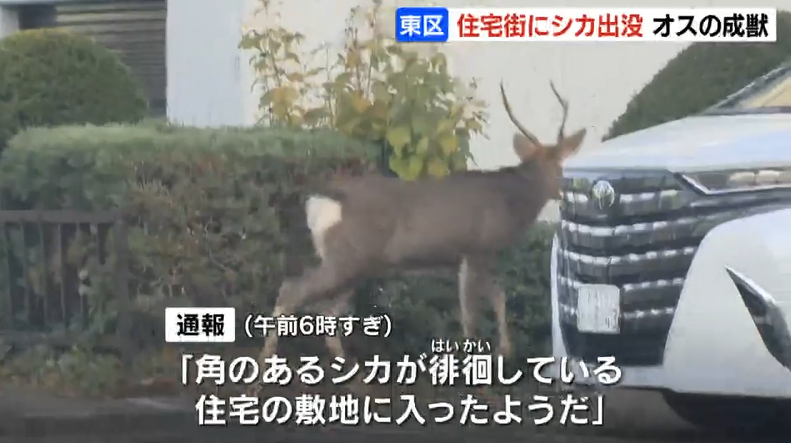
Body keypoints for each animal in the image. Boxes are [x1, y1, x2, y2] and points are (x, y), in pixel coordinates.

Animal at [257, 80, 587, 372]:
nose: (564, 191)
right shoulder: (476, 248)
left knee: (326, 311)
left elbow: (491, 300)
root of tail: (324, 199)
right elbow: (475, 312)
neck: (510, 201)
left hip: (358, 263)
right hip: (347, 257)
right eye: (559, 168)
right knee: (291, 291)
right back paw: (262, 368)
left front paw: (499, 352)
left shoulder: (467, 258)